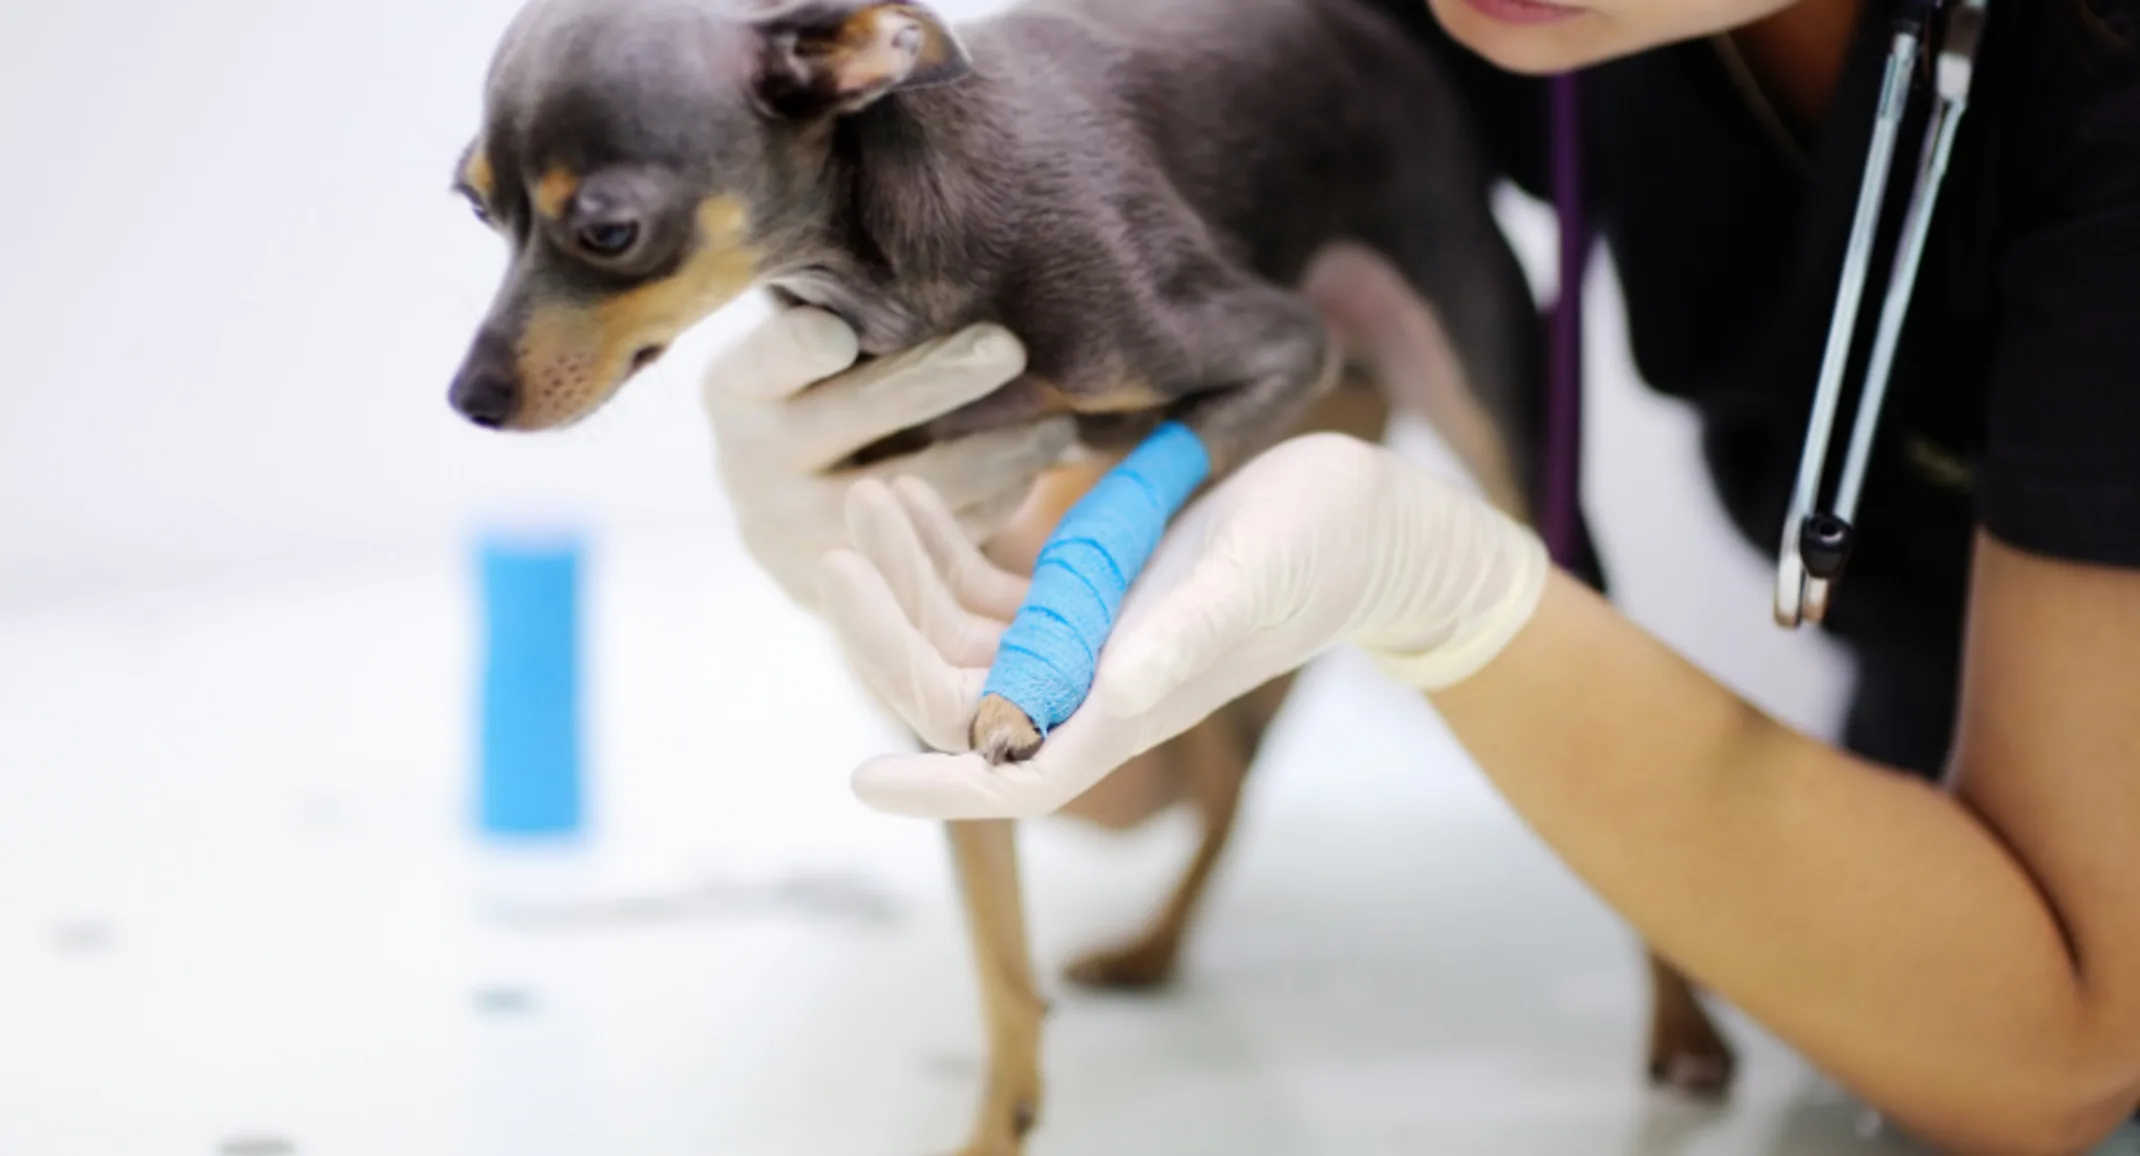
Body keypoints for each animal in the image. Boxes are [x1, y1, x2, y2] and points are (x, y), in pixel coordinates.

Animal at [447, 2, 1737, 1147]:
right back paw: (1155, 945)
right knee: (1231, 774)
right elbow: (998, 946)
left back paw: (1684, 1028)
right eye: (473, 205)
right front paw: (998, 1116)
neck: (892, 262)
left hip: (1496, 435)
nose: (468, 399)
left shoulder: (1271, 349)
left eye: (607, 231)